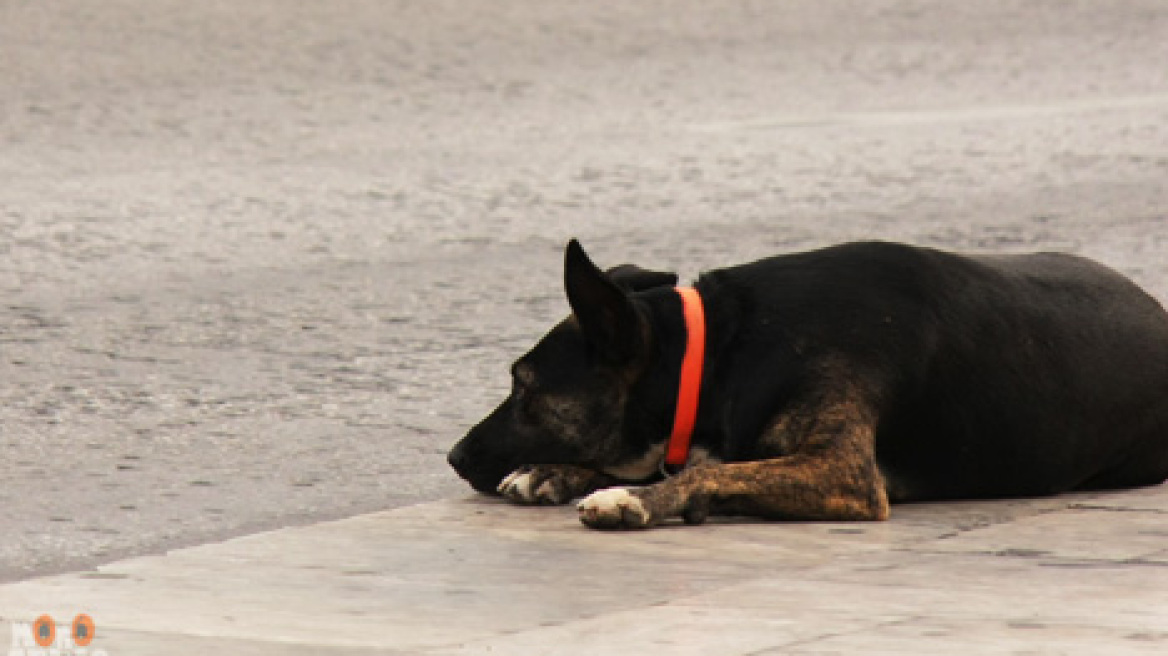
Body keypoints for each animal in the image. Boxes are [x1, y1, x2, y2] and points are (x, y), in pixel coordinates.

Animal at [448, 239, 1168, 525]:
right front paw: (554, 473)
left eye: (523, 387)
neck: (723, 353)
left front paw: (630, 498)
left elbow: (707, 472)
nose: (452, 457)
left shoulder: (842, 471)